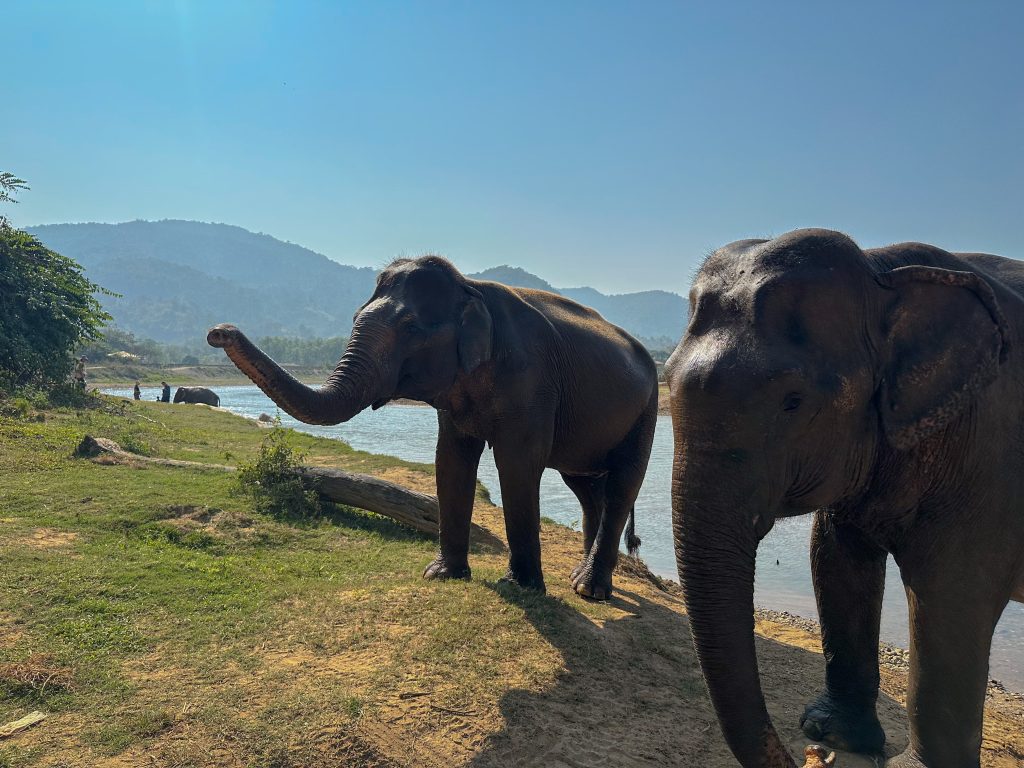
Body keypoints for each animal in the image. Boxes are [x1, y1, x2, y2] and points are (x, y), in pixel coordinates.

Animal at [208, 255, 658, 599]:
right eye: (354, 318)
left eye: (411, 328)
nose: (218, 332)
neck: (470, 286)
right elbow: (450, 459)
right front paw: (442, 575)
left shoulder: (531, 381)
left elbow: (517, 465)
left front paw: (520, 588)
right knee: (585, 489)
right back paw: (582, 579)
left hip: (647, 409)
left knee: (622, 484)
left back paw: (591, 590)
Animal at [665, 229, 1024, 768]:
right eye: (664, 376)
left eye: (793, 402)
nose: (810, 754)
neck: (883, 274)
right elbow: (835, 559)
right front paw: (834, 733)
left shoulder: (991, 453)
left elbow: (950, 593)